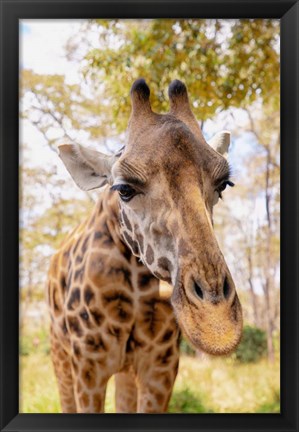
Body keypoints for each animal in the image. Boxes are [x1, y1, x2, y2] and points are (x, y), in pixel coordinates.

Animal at [47, 79, 244, 414]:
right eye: (124, 189)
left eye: (223, 185)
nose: (215, 326)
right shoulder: (88, 364)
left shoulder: (161, 364)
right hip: (60, 353)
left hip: (125, 370)